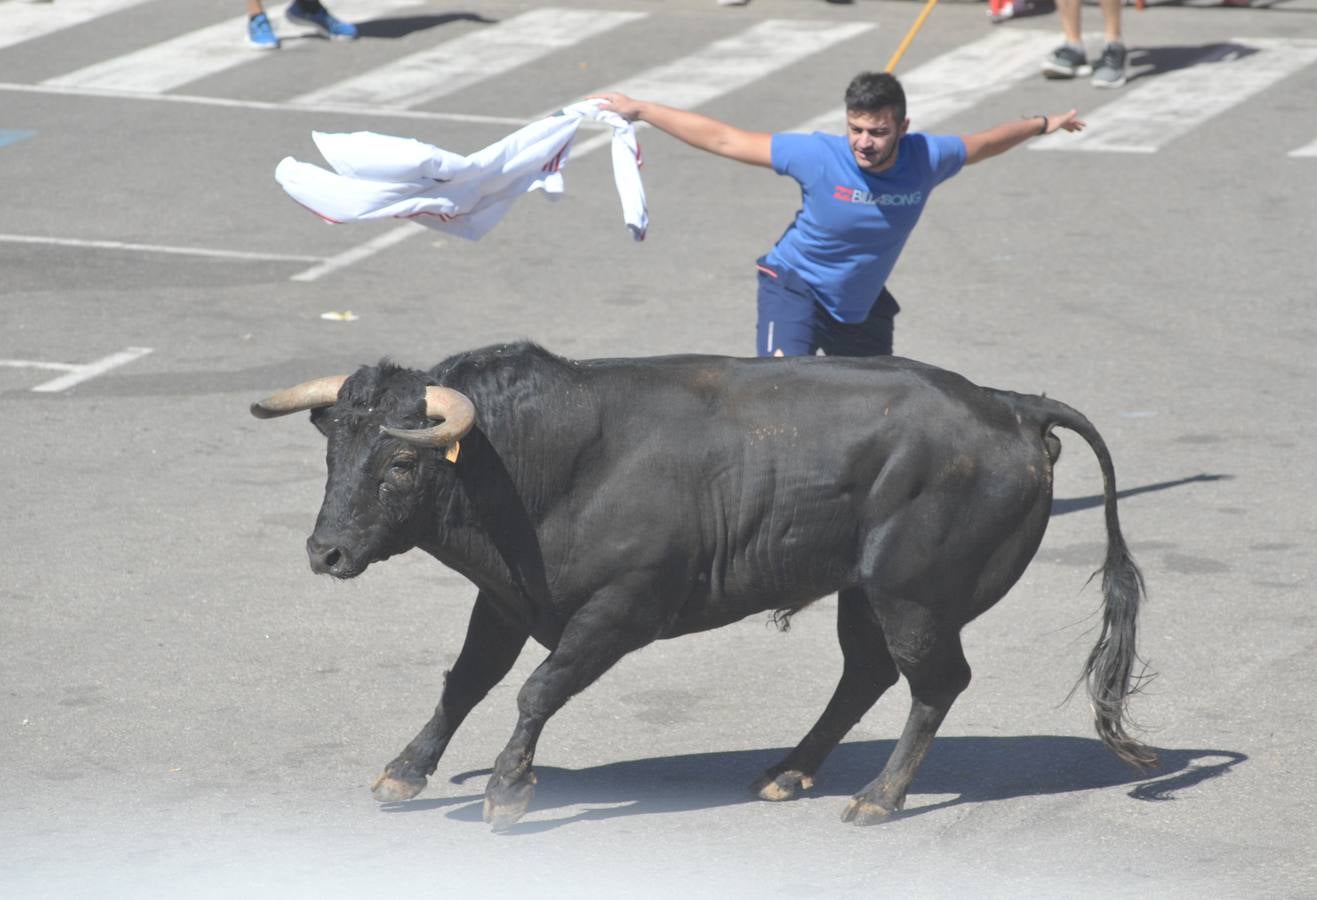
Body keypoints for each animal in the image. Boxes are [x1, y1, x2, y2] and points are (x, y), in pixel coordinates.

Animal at [247, 342, 1153, 832]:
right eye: (333, 452)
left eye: (401, 465)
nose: (326, 552)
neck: (542, 462)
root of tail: (1009, 406)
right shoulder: (504, 601)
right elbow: (466, 682)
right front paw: (404, 771)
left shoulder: (620, 609)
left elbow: (538, 689)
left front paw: (507, 789)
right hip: (862, 590)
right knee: (866, 674)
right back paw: (788, 772)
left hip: (910, 593)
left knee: (934, 683)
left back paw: (879, 797)